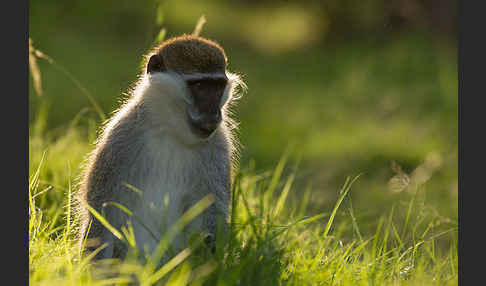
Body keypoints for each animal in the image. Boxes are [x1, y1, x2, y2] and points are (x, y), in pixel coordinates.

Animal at [76, 34, 247, 260]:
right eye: (200, 85)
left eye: (217, 87)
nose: (212, 114)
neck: (169, 130)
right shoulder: (120, 138)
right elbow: (102, 211)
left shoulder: (218, 145)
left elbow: (212, 214)